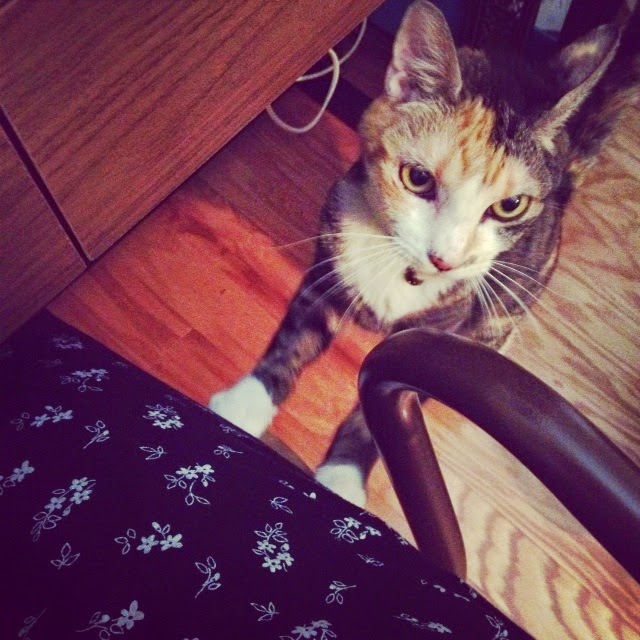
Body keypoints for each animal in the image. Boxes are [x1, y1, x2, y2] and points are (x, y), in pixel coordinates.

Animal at [210, 1, 639, 506]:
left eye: (510, 205)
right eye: (417, 178)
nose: (445, 259)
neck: (400, 267)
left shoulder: (440, 335)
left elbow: (386, 405)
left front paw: (344, 475)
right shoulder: (331, 259)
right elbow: (294, 338)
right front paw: (244, 406)